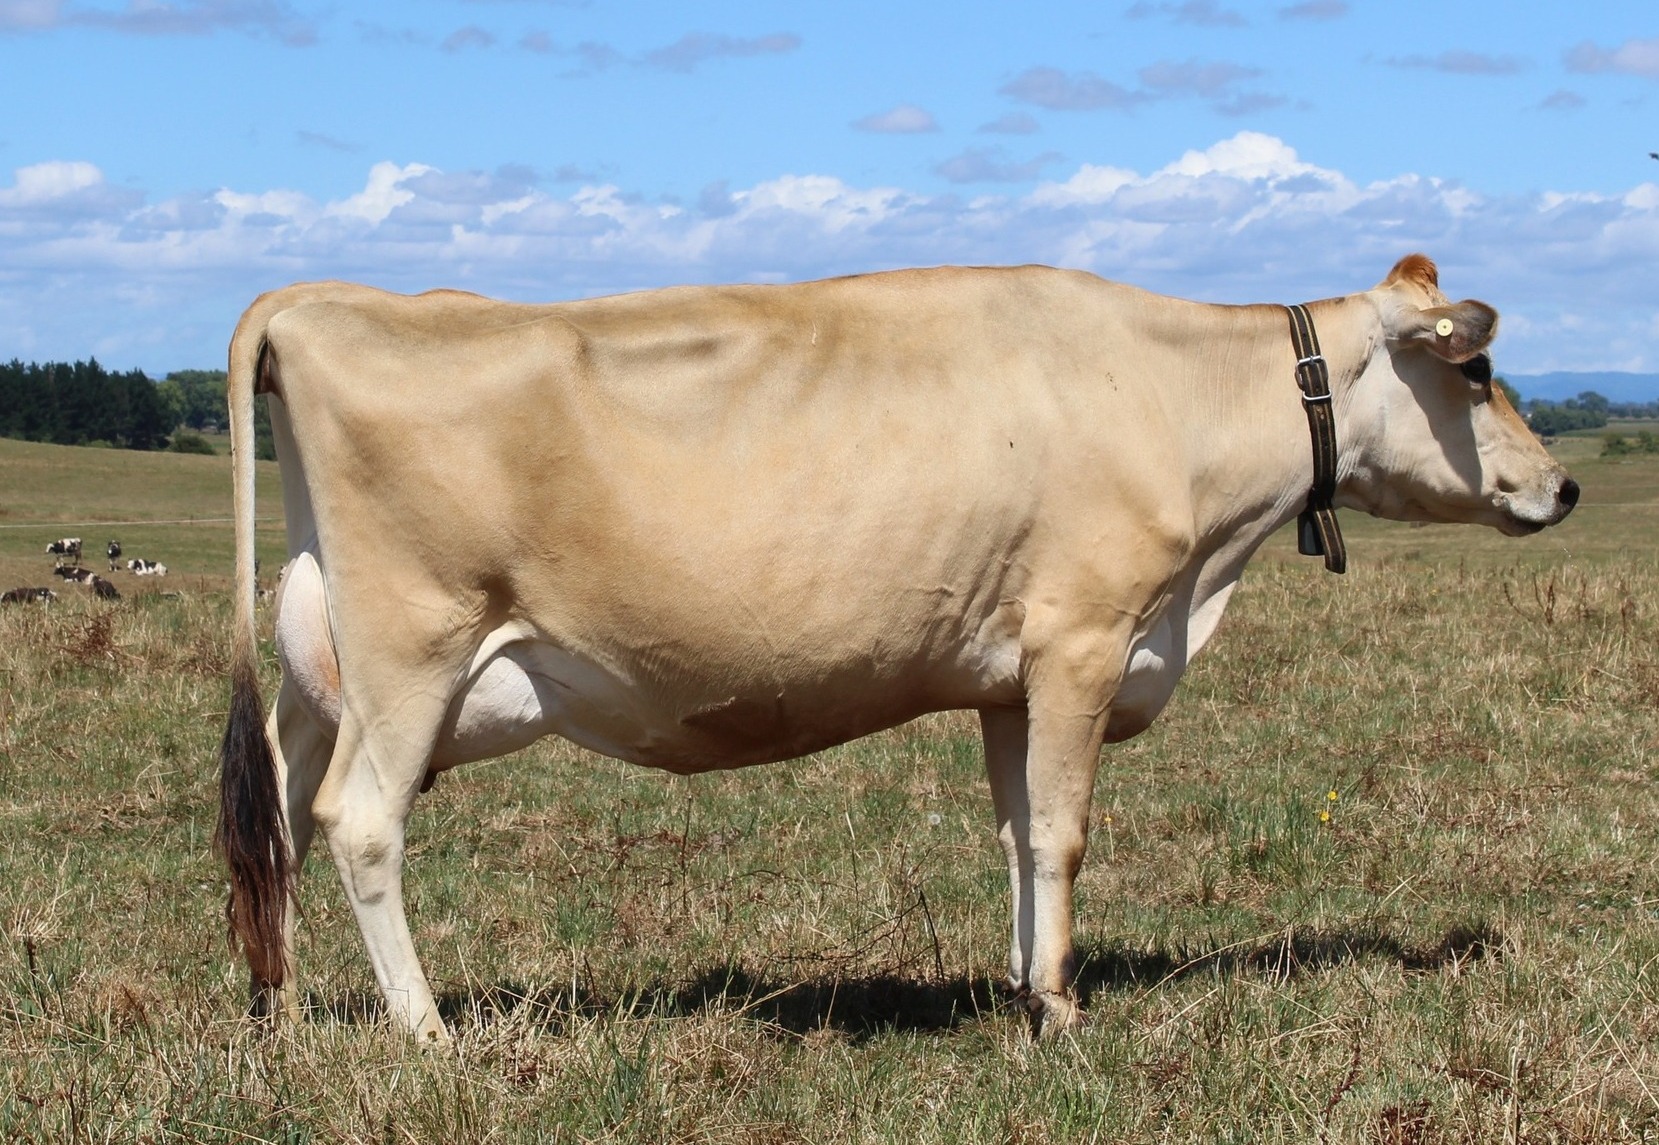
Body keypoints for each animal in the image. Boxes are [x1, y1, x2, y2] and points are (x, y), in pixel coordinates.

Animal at [217, 255, 1578, 1044]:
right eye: (1480, 368)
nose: (1562, 485)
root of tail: (324, 301)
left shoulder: (1011, 676)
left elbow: (1023, 833)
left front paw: (1028, 985)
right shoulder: (1086, 639)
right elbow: (1067, 830)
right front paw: (1065, 1012)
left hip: (321, 670)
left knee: (275, 817)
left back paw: (275, 1002)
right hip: (414, 646)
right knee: (360, 821)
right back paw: (426, 1032)